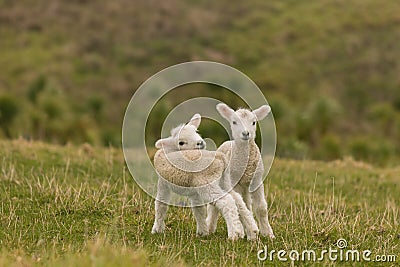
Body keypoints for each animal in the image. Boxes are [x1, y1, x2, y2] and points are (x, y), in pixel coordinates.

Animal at [152, 114, 258, 242]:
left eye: (196, 132)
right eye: (181, 142)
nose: (200, 142)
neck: (169, 150)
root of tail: (220, 157)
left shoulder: (163, 184)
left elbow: (160, 205)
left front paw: (157, 230)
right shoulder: (194, 192)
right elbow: (199, 210)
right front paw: (203, 232)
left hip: (207, 184)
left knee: (227, 202)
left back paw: (234, 234)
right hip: (224, 181)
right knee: (237, 199)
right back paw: (252, 231)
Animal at [206, 103, 276, 240]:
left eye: (254, 122)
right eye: (234, 122)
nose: (245, 133)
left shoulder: (257, 181)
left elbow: (261, 208)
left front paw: (268, 234)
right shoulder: (233, 183)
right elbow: (239, 205)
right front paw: (251, 231)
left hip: (245, 188)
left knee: (247, 203)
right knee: (215, 206)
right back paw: (210, 228)